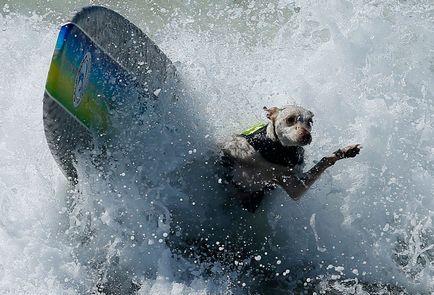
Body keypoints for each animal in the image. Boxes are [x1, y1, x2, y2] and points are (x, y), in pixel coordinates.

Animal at [222, 105, 362, 212]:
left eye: (309, 122)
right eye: (290, 119)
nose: (307, 136)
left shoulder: (298, 177)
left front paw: (346, 151)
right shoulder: (296, 188)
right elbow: (323, 160)